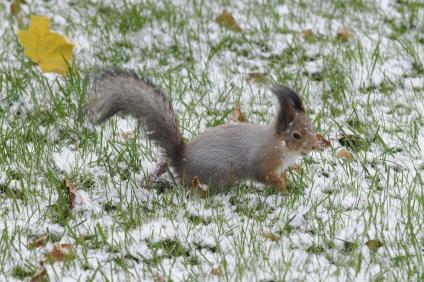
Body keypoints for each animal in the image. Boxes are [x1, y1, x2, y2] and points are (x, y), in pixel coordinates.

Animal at [89, 69, 322, 194]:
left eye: (311, 127)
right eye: (296, 135)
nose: (314, 145)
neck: (280, 146)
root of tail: (181, 162)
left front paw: (289, 185)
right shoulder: (263, 163)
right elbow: (266, 177)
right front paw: (284, 190)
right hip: (220, 172)